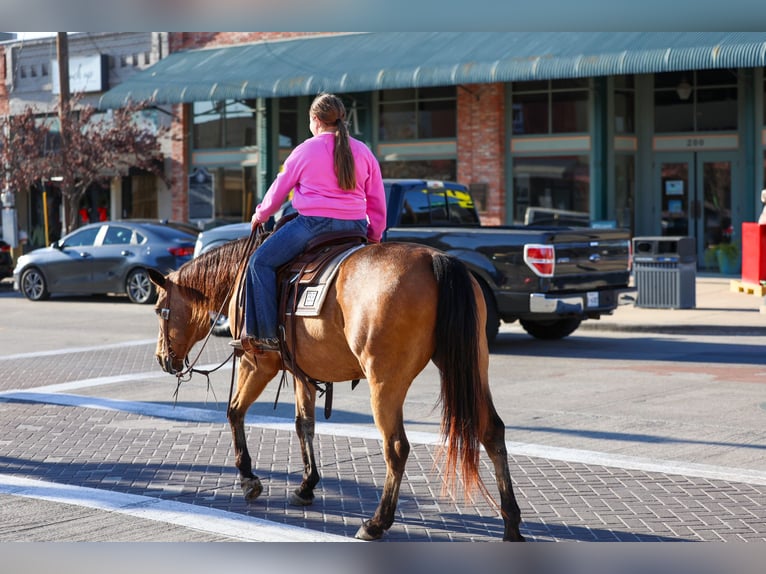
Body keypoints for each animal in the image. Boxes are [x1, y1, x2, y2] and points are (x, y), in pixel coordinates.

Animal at [148, 233, 524, 542]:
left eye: (159, 309)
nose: (162, 359)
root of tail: (435, 259)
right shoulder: (301, 372)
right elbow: (304, 424)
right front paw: (306, 485)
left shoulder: (257, 364)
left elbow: (234, 411)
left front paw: (248, 477)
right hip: (471, 366)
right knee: (492, 432)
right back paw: (511, 524)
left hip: (385, 382)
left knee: (396, 447)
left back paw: (377, 522)